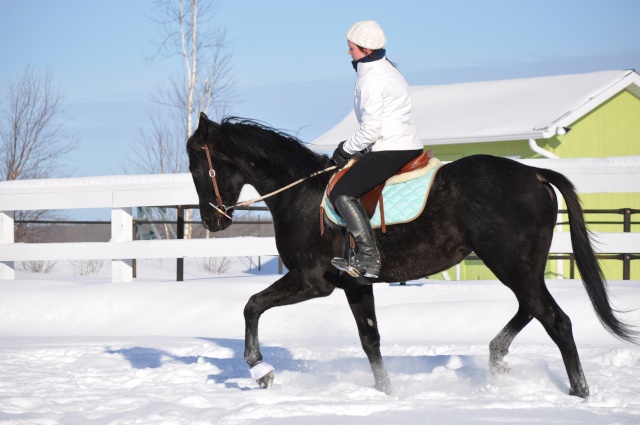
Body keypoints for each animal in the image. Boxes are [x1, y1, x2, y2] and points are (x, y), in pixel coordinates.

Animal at [186, 113, 636, 398]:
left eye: (195, 165)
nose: (211, 221)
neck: (302, 195)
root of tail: (536, 173)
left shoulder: (311, 281)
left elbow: (251, 305)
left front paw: (260, 370)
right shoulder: (353, 284)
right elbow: (370, 340)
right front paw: (387, 394)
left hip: (510, 263)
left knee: (555, 320)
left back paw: (579, 393)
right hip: (520, 266)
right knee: (533, 309)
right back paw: (498, 360)